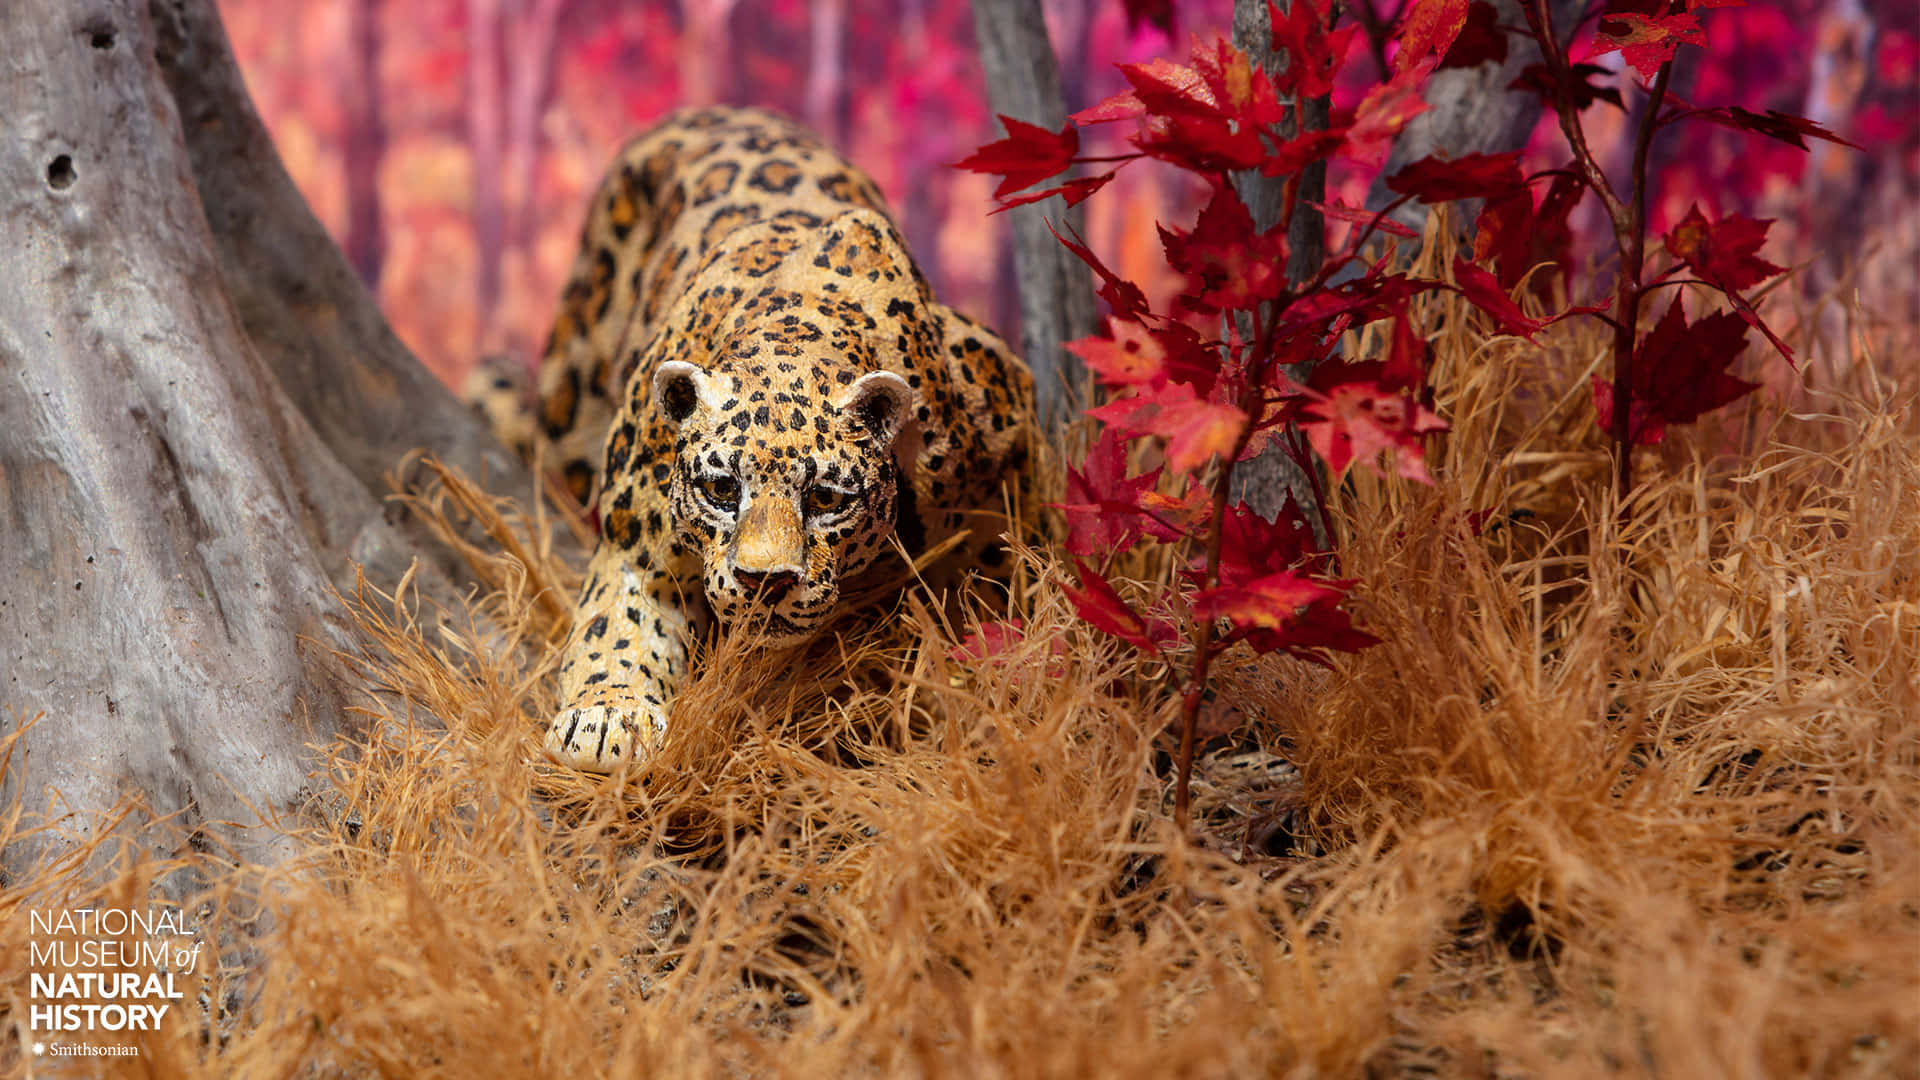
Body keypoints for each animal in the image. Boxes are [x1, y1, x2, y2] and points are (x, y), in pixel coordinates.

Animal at [510, 106, 1034, 773]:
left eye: (828, 499)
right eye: (720, 490)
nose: (768, 583)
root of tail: (713, 111)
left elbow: (1016, 567)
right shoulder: (636, 541)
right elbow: (615, 623)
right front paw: (607, 715)